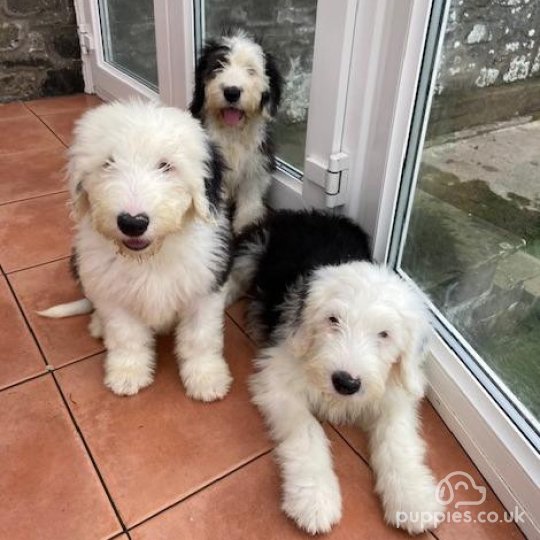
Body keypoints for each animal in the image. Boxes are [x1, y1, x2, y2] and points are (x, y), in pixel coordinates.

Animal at [190, 30, 282, 236]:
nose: (232, 92)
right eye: (218, 66)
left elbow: (250, 197)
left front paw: (247, 224)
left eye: (251, 70)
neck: (232, 132)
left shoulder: (257, 163)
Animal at [228, 211, 442, 536]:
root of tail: (313, 213)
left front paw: (413, 499)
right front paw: (314, 499)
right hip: (255, 246)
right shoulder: (277, 378)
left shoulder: (394, 395)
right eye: (333, 320)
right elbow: (307, 431)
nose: (346, 382)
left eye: (384, 334)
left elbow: (399, 441)